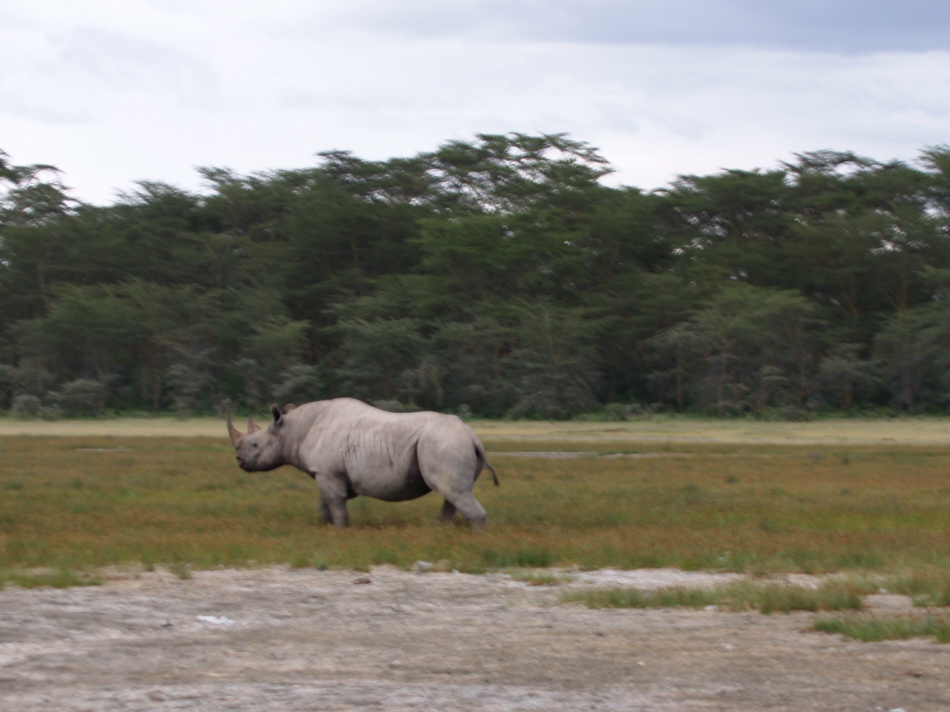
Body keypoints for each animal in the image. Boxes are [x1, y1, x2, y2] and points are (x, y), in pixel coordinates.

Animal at [227, 398, 499, 528]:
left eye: (255, 445)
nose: (239, 460)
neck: (293, 429)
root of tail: (472, 435)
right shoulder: (328, 474)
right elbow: (325, 505)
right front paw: (324, 528)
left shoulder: (328, 473)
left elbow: (336, 507)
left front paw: (339, 531)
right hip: (450, 442)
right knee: (452, 494)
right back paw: (439, 530)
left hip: (444, 442)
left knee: (454, 492)